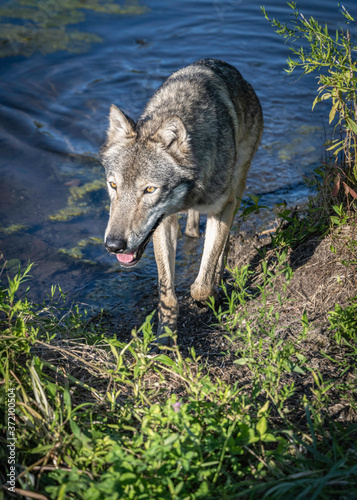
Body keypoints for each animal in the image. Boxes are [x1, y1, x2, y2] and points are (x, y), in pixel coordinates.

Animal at [99, 58, 262, 346]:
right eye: (113, 185)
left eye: (149, 189)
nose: (114, 245)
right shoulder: (163, 223)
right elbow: (167, 295)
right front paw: (165, 339)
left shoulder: (223, 207)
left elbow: (201, 286)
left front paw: (211, 294)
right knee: (193, 228)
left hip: (238, 185)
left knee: (224, 243)